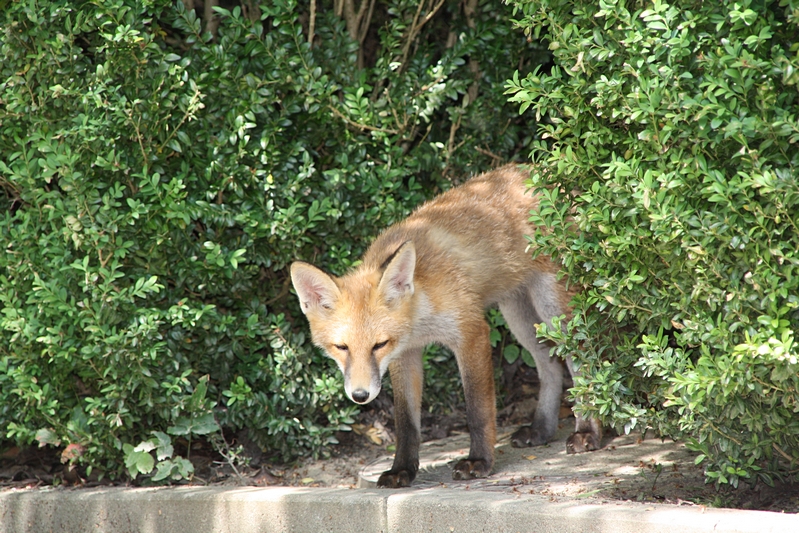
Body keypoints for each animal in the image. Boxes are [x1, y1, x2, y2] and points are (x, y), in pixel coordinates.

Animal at [290, 165, 600, 486]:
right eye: (341, 347)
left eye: (378, 344)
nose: (360, 395)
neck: (420, 320)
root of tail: (543, 173)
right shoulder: (404, 356)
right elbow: (406, 423)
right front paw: (402, 469)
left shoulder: (471, 333)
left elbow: (477, 410)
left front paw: (479, 461)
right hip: (519, 316)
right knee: (551, 366)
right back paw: (541, 429)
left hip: (553, 308)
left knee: (581, 361)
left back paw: (587, 432)